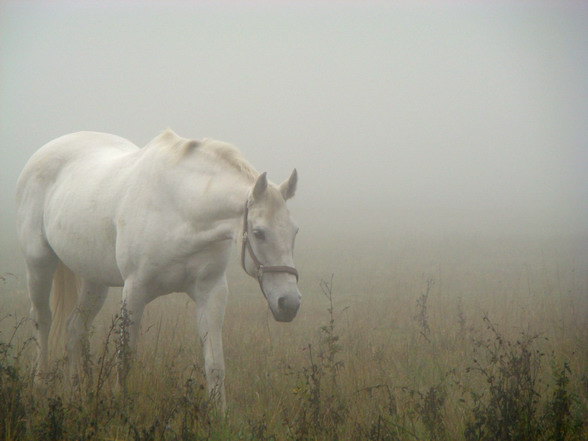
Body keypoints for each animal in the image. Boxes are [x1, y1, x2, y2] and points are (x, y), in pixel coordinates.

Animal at [16, 129, 300, 408]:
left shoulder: (211, 292)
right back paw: (40, 386)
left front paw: (218, 415)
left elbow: (215, 365)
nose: (289, 304)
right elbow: (125, 360)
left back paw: (77, 395)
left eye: (295, 231)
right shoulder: (134, 291)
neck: (180, 210)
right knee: (43, 319)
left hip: (94, 280)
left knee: (75, 328)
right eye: (259, 233)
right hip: (39, 263)